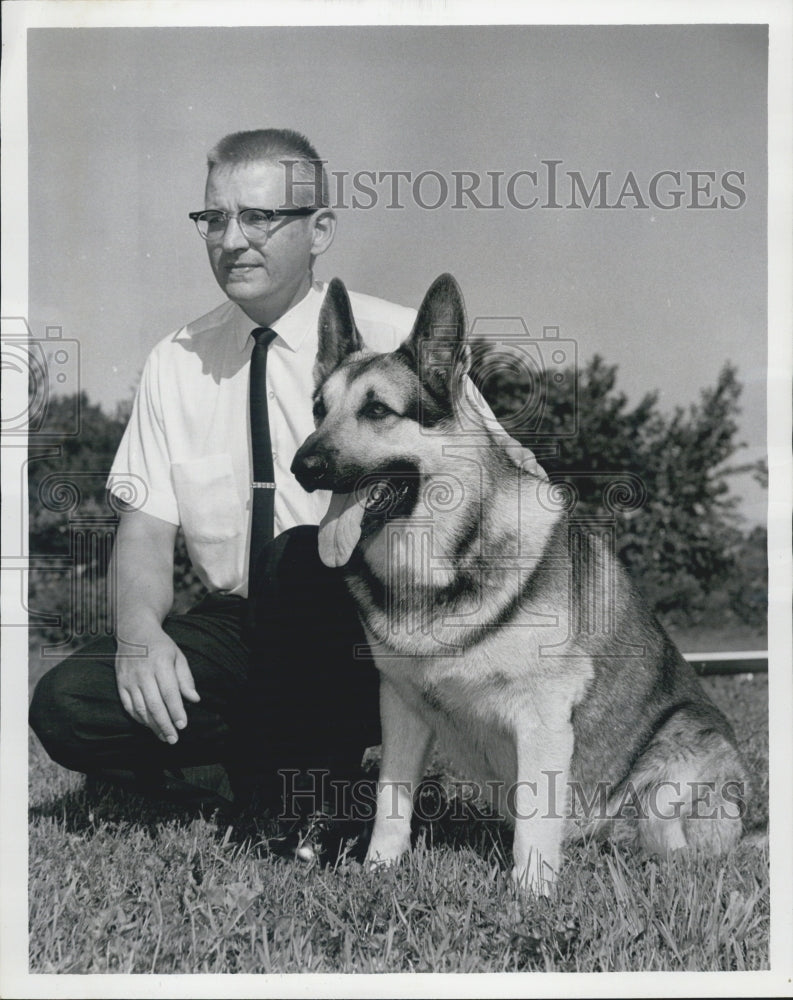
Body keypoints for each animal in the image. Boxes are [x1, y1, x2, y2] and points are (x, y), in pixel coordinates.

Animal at [290, 278, 744, 896]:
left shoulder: (543, 716)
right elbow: (390, 801)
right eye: (318, 409)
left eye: (377, 410)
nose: (302, 466)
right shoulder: (401, 709)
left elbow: (535, 821)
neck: (443, 557)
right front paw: (379, 870)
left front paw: (531, 895)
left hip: (674, 766)